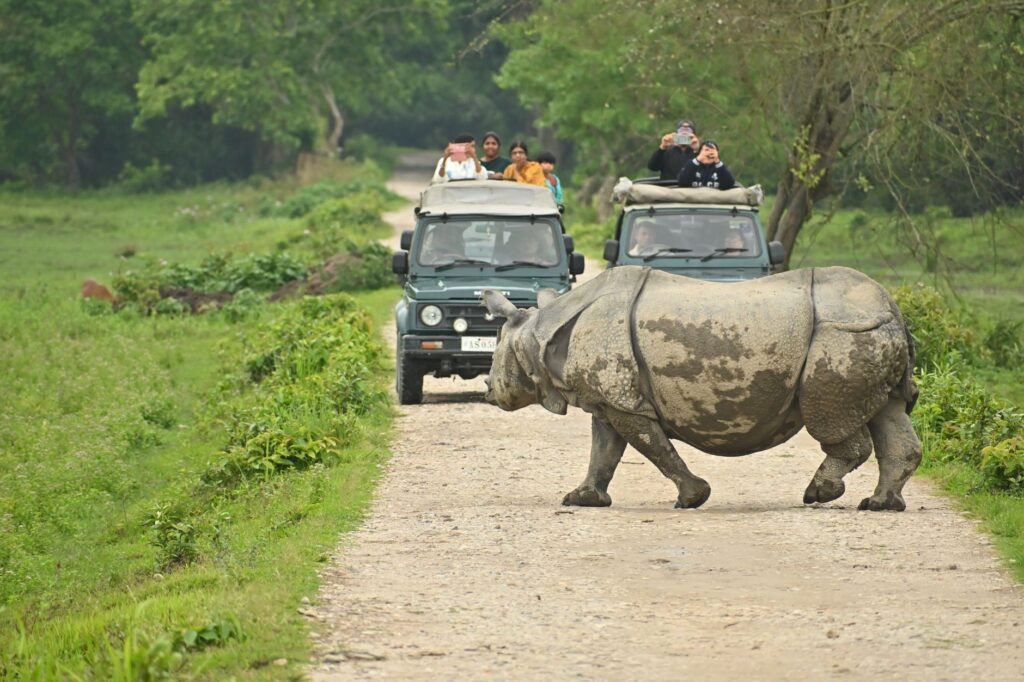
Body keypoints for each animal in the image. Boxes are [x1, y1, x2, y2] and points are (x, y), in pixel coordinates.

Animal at [482, 265, 922, 511]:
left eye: (496, 352)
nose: (487, 390)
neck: (538, 334)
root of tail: (893, 310)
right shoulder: (610, 399)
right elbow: (603, 451)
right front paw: (581, 500)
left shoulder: (624, 402)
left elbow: (653, 448)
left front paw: (693, 498)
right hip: (867, 333)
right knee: (889, 412)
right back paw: (880, 506)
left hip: (843, 334)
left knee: (831, 418)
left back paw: (818, 494)